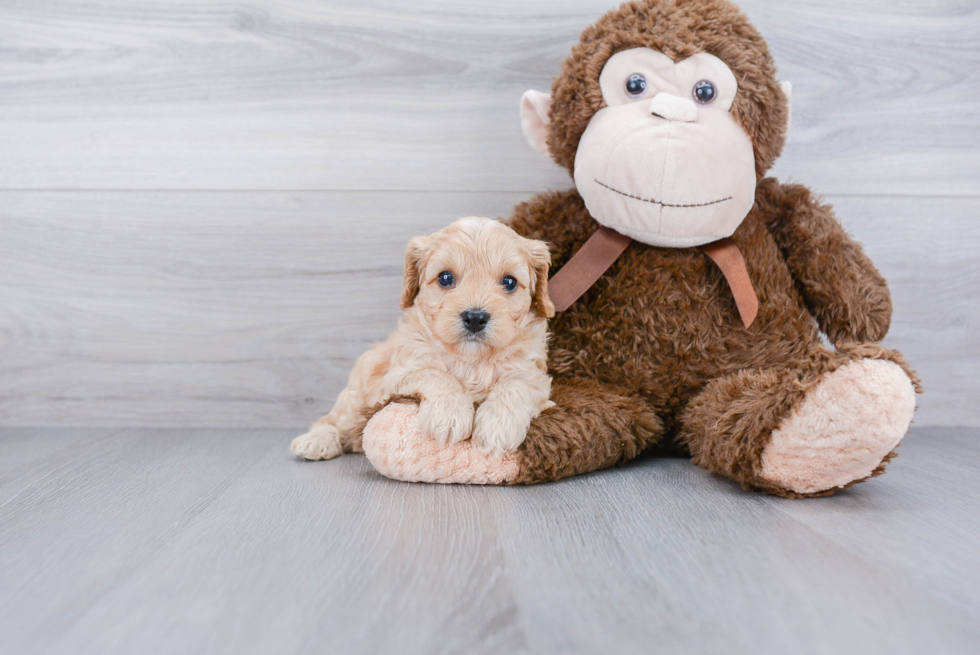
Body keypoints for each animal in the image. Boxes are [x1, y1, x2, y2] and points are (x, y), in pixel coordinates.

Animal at [288, 217, 556, 462]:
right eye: (445, 278)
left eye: (509, 282)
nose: (475, 317)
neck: (471, 359)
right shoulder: (401, 373)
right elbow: (437, 375)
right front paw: (449, 416)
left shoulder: (534, 376)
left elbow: (515, 384)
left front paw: (497, 426)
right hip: (356, 400)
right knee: (332, 420)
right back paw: (316, 441)